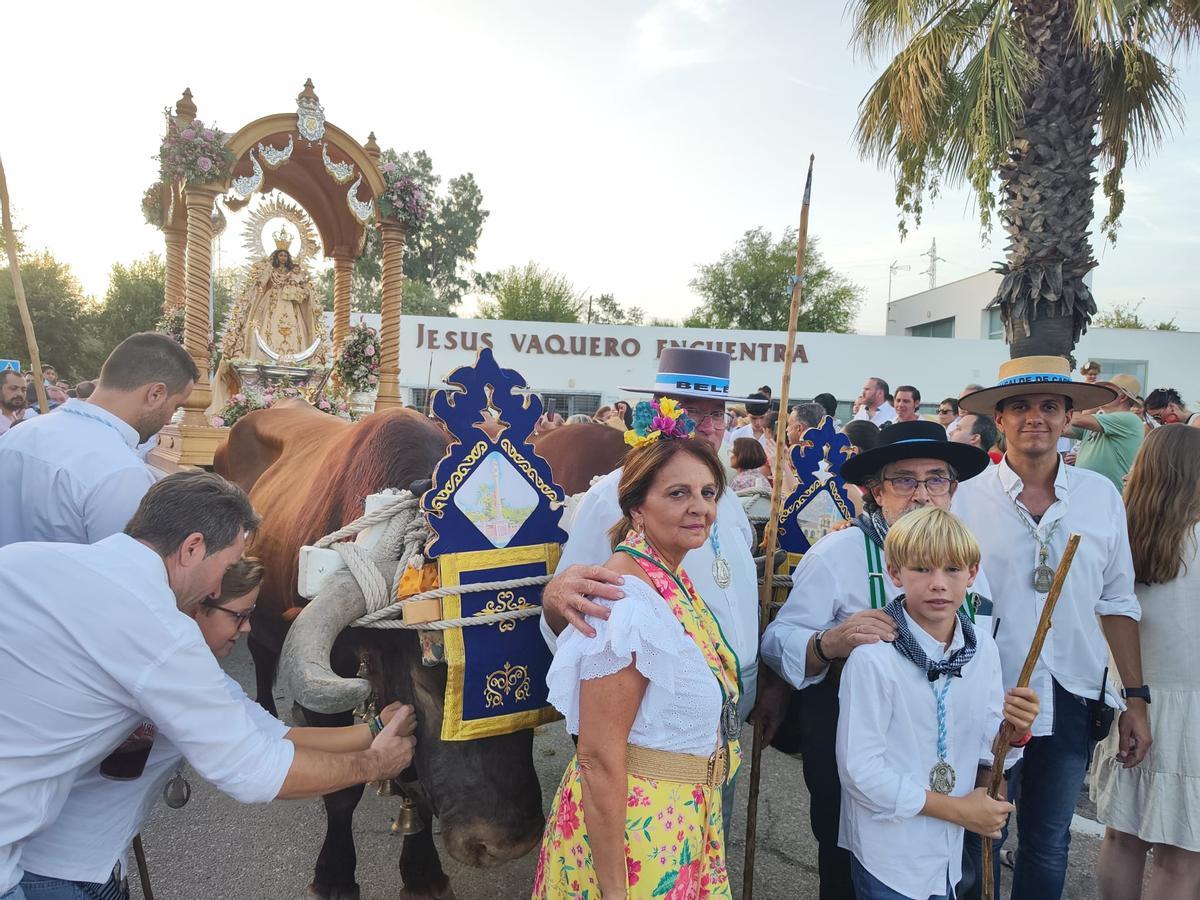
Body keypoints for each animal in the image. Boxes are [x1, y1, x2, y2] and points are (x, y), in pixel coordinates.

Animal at [214, 404, 626, 900]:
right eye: (431, 677)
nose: (507, 843)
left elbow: (417, 789)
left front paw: (423, 872)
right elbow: (342, 792)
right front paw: (334, 875)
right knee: (261, 654)